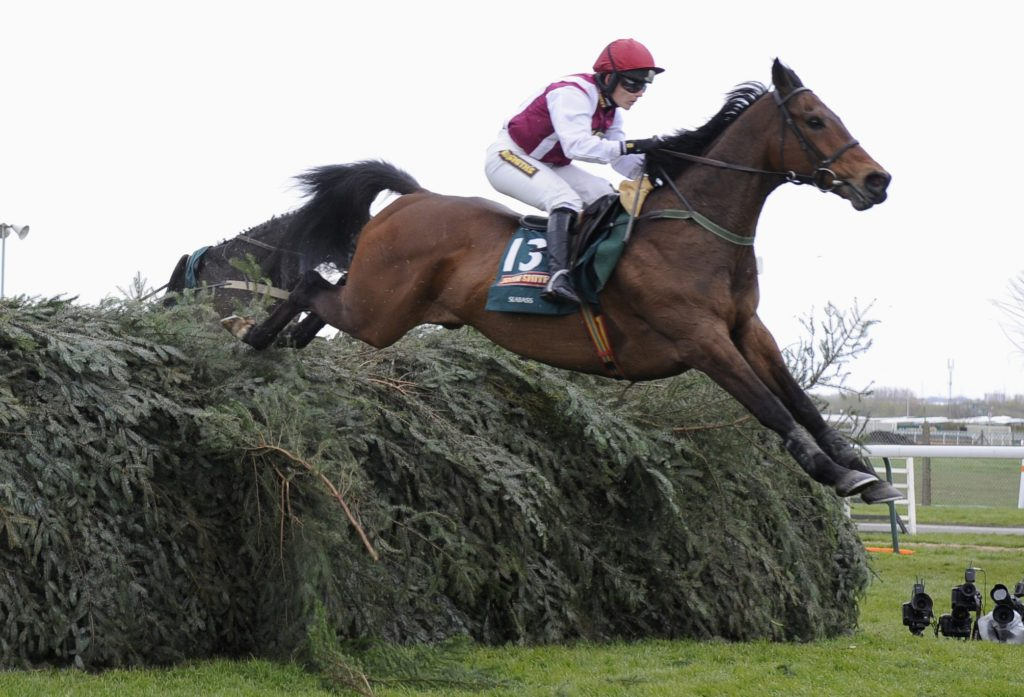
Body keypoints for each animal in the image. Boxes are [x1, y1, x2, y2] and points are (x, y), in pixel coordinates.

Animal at [222, 59, 900, 505]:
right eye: (814, 120)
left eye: (832, 115)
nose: (877, 180)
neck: (697, 230)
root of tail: (413, 198)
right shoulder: (700, 338)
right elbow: (769, 406)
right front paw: (837, 474)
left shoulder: (745, 328)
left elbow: (800, 400)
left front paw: (856, 465)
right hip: (379, 310)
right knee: (309, 286)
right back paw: (254, 340)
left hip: (382, 310)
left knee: (323, 299)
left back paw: (287, 345)